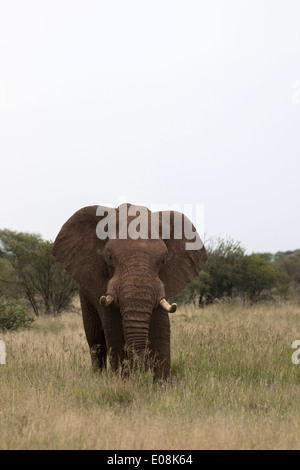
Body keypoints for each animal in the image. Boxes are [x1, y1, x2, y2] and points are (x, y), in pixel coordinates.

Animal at [52, 204, 206, 380]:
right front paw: (124, 380)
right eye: (109, 257)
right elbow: (113, 328)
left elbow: (161, 327)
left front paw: (162, 383)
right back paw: (98, 377)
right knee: (95, 338)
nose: (142, 371)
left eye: (163, 260)